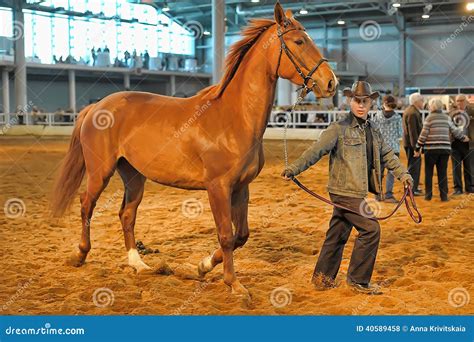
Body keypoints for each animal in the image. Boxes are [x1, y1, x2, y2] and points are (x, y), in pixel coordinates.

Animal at [51, 2, 336, 298]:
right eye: (299, 41)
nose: (331, 82)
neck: (234, 118)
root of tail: (96, 106)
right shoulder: (218, 187)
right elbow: (226, 234)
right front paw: (233, 284)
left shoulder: (240, 187)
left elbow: (240, 235)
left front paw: (202, 267)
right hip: (101, 171)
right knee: (86, 204)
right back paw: (80, 255)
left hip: (133, 174)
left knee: (127, 214)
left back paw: (138, 264)